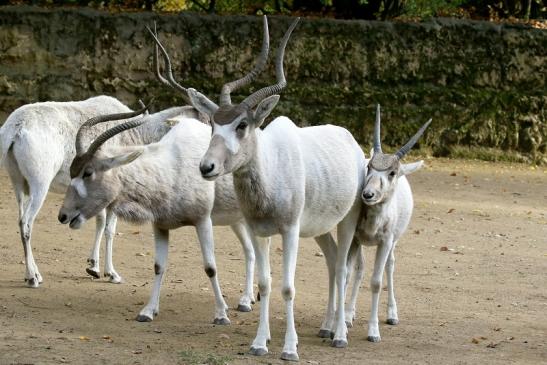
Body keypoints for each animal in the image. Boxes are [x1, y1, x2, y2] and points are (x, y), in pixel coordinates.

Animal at [176, 16, 366, 358]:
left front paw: (289, 348)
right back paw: (326, 326)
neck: (270, 172)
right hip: (318, 228)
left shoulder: (289, 231)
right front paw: (259, 343)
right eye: (213, 124)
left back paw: (340, 334)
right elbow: (265, 284)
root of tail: (350, 140)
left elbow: (287, 287)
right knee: (333, 262)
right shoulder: (258, 231)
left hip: (348, 220)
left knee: (344, 267)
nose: (207, 167)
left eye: (242, 124)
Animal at [338, 106, 432, 344]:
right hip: (361, 243)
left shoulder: (385, 242)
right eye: (368, 167)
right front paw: (342, 321)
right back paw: (350, 314)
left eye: (391, 173)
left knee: (390, 266)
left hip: (394, 242)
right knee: (360, 269)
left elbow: (376, 282)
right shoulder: (355, 238)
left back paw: (392, 314)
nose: (368, 194)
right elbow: (349, 274)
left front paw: (373, 331)